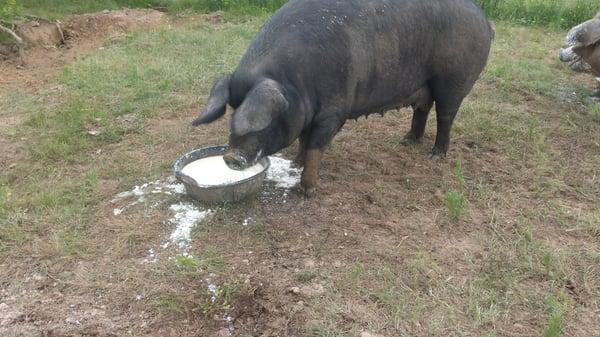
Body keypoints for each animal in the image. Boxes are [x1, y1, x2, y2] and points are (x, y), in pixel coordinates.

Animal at [192, 0, 492, 196]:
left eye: (265, 119)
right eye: (232, 108)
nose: (230, 157)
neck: (296, 82)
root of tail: (484, 20)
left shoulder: (333, 111)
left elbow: (316, 145)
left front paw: (308, 191)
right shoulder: (310, 113)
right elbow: (303, 139)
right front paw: (295, 163)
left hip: (454, 80)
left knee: (446, 115)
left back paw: (435, 156)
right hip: (425, 84)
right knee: (423, 109)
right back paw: (406, 141)